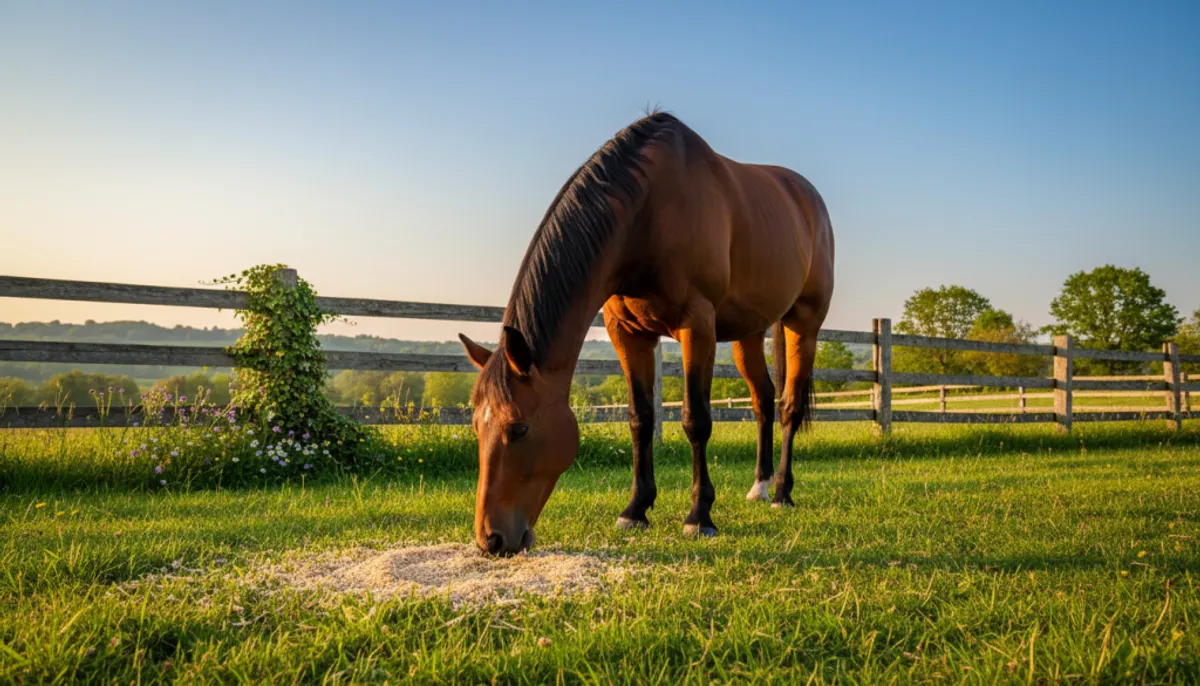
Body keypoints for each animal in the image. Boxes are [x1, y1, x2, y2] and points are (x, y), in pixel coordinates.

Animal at [458, 111, 835, 556]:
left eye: (519, 429)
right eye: (476, 426)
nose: (491, 539)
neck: (647, 215)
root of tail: (808, 198)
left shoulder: (697, 325)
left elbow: (696, 419)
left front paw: (699, 516)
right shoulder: (628, 333)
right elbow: (640, 418)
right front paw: (635, 509)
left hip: (804, 324)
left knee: (789, 404)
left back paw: (781, 493)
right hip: (749, 332)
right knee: (763, 399)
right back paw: (759, 486)